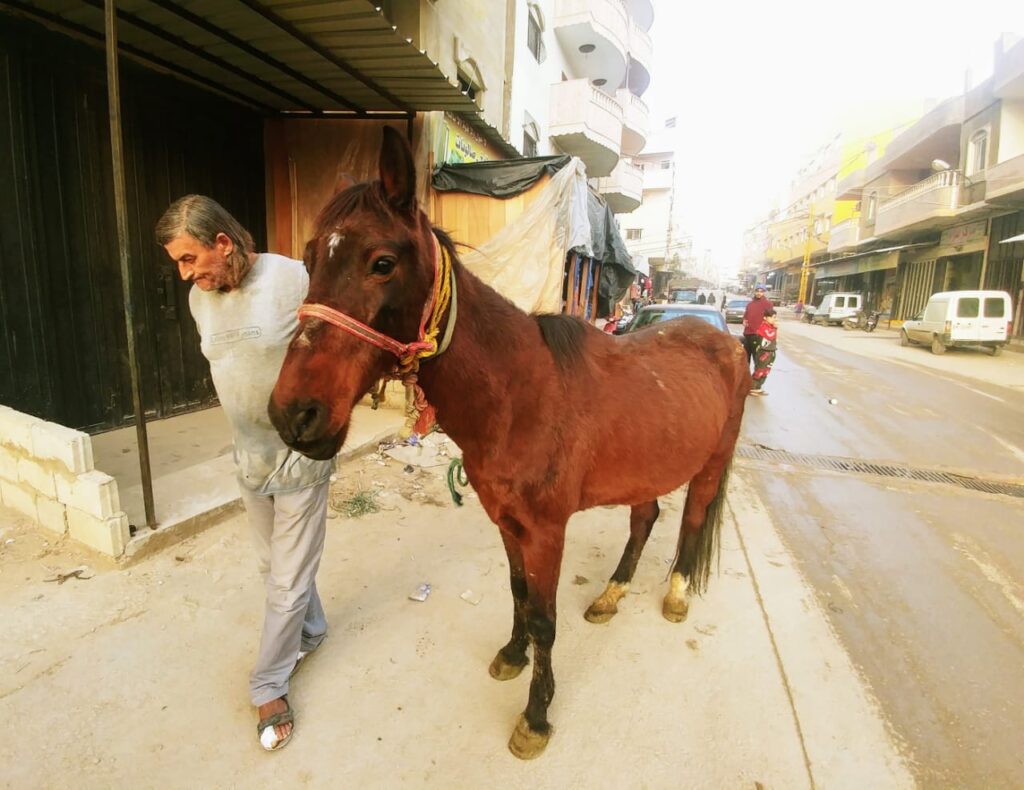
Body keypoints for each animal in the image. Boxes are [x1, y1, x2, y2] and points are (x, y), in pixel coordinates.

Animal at [270, 128, 753, 758]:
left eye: (382, 262)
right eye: (308, 260)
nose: (293, 414)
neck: (519, 396)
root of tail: (726, 341)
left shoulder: (546, 530)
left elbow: (546, 618)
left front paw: (537, 716)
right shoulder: (505, 520)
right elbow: (518, 592)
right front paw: (513, 655)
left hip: (711, 464)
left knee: (692, 520)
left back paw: (674, 595)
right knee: (644, 518)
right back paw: (610, 596)